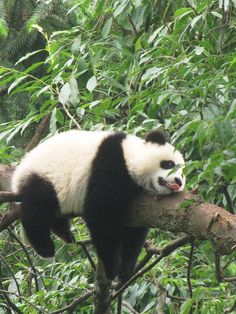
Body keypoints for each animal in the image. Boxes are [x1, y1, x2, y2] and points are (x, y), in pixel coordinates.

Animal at [11, 129, 185, 280]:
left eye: (183, 174)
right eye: (169, 164)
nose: (178, 181)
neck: (129, 155)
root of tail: (18, 172)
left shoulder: (139, 204)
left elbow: (135, 232)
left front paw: (126, 269)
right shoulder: (110, 164)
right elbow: (102, 215)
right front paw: (112, 267)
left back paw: (65, 234)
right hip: (44, 176)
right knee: (38, 207)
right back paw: (45, 247)